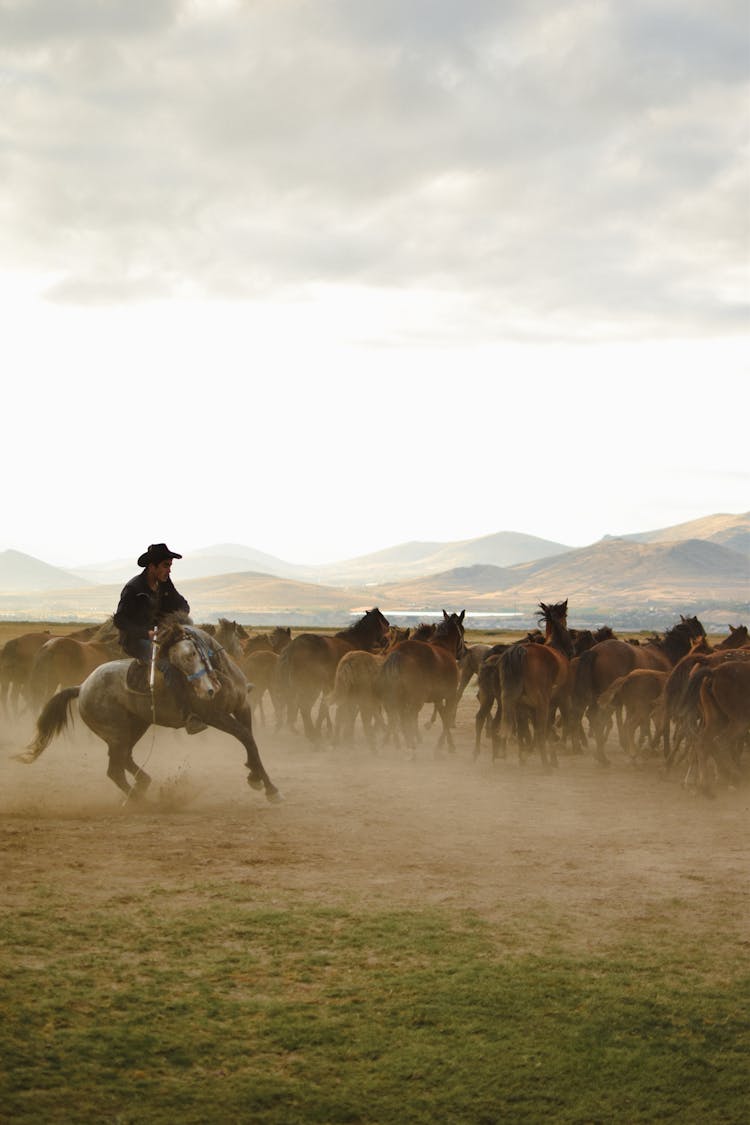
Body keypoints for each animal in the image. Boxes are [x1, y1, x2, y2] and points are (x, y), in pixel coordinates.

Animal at [278, 612, 391, 742]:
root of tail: (293, 646)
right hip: (311, 686)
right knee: (304, 706)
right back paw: (314, 736)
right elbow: (345, 711)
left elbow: (326, 709)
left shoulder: (331, 687)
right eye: (387, 624)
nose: (385, 643)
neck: (356, 641)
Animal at [382, 607, 463, 756]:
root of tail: (398, 652)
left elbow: (442, 716)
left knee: (397, 717)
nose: (463, 652)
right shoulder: (450, 695)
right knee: (406, 717)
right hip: (415, 698)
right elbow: (446, 718)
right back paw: (411, 746)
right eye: (462, 629)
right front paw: (447, 746)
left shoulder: (438, 698)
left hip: (397, 697)